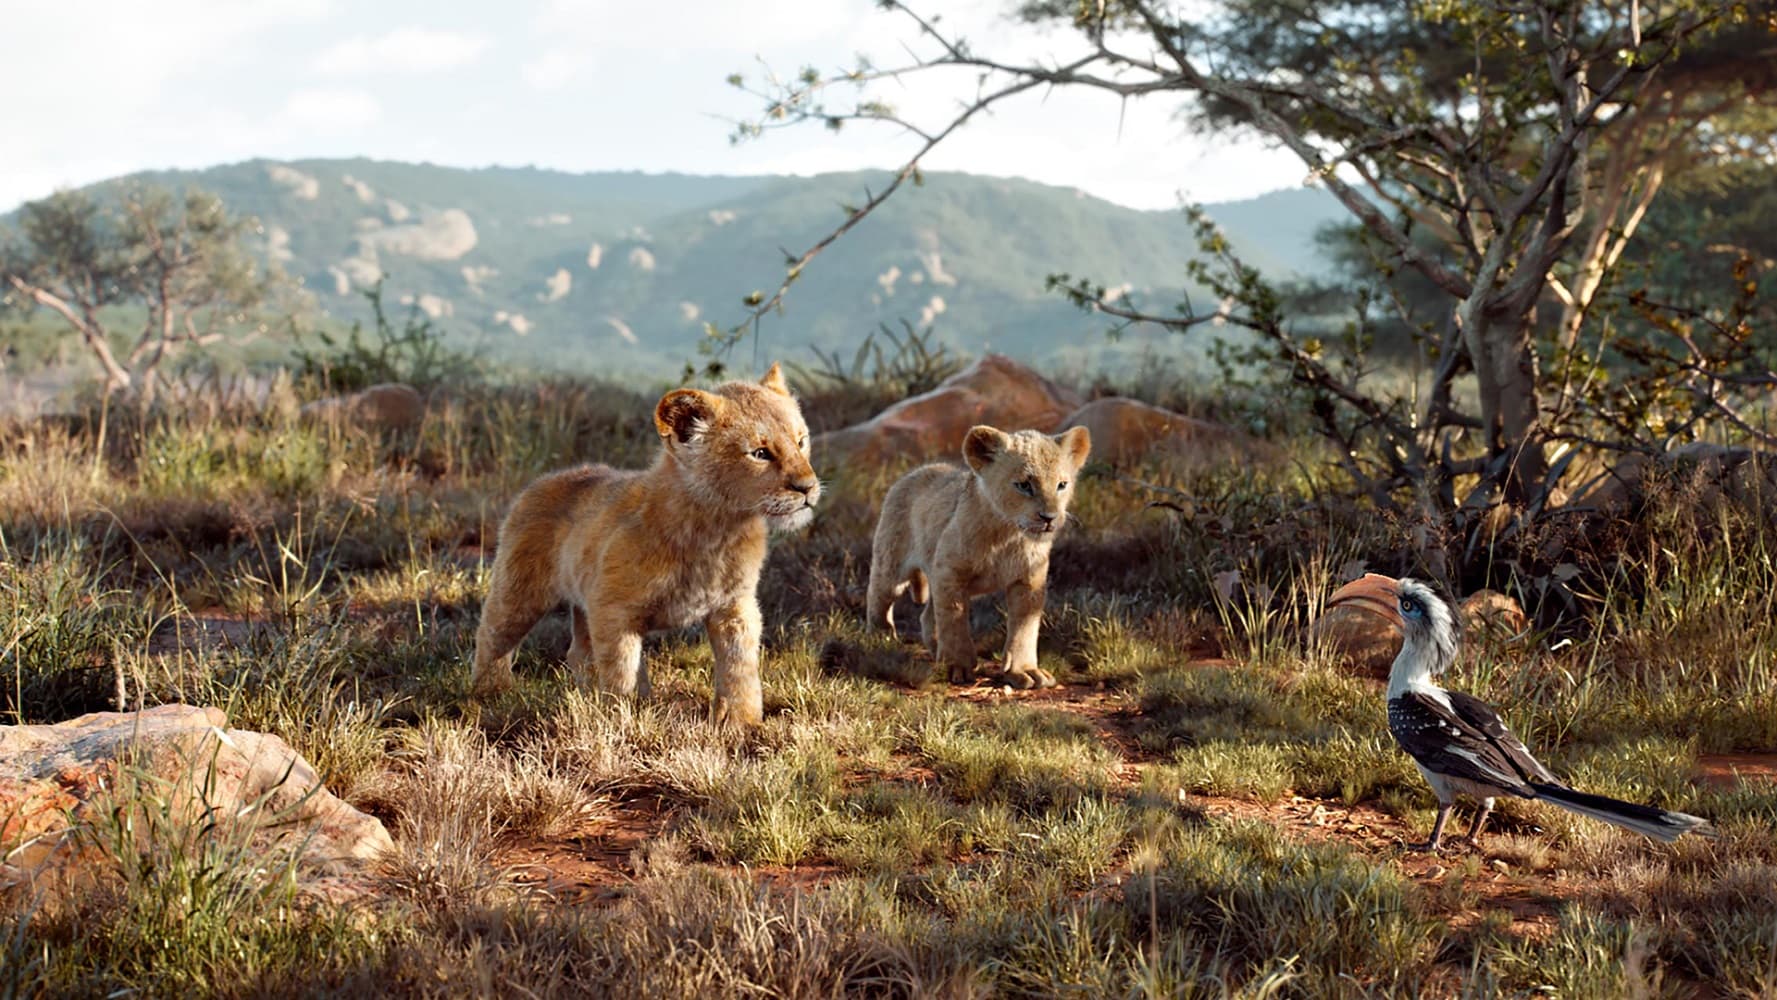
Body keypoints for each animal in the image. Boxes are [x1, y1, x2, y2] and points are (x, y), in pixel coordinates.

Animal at [469, 364, 819, 726]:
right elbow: (621, 671)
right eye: (760, 454)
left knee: (578, 652)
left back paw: (584, 696)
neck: (717, 531)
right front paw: (620, 718)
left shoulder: (735, 606)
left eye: (801, 441)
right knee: (493, 635)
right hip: (519, 592)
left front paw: (741, 723)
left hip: (581, 600)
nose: (808, 487)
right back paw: (490, 693)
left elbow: (740, 667)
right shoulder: (614, 610)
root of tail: (541, 481)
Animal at [866, 424, 1091, 689]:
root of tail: (917, 471)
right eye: (1024, 485)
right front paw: (958, 667)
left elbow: (1025, 628)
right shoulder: (949, 572)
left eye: (1062, 485)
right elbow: (954, 620)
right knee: (879, 595)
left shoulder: (1029, 580)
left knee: (927, 616)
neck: (1008, 535)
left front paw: (1025, 671)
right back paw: (881, 639)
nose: (1049, 518)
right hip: (892, 563)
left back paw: (936, 650)